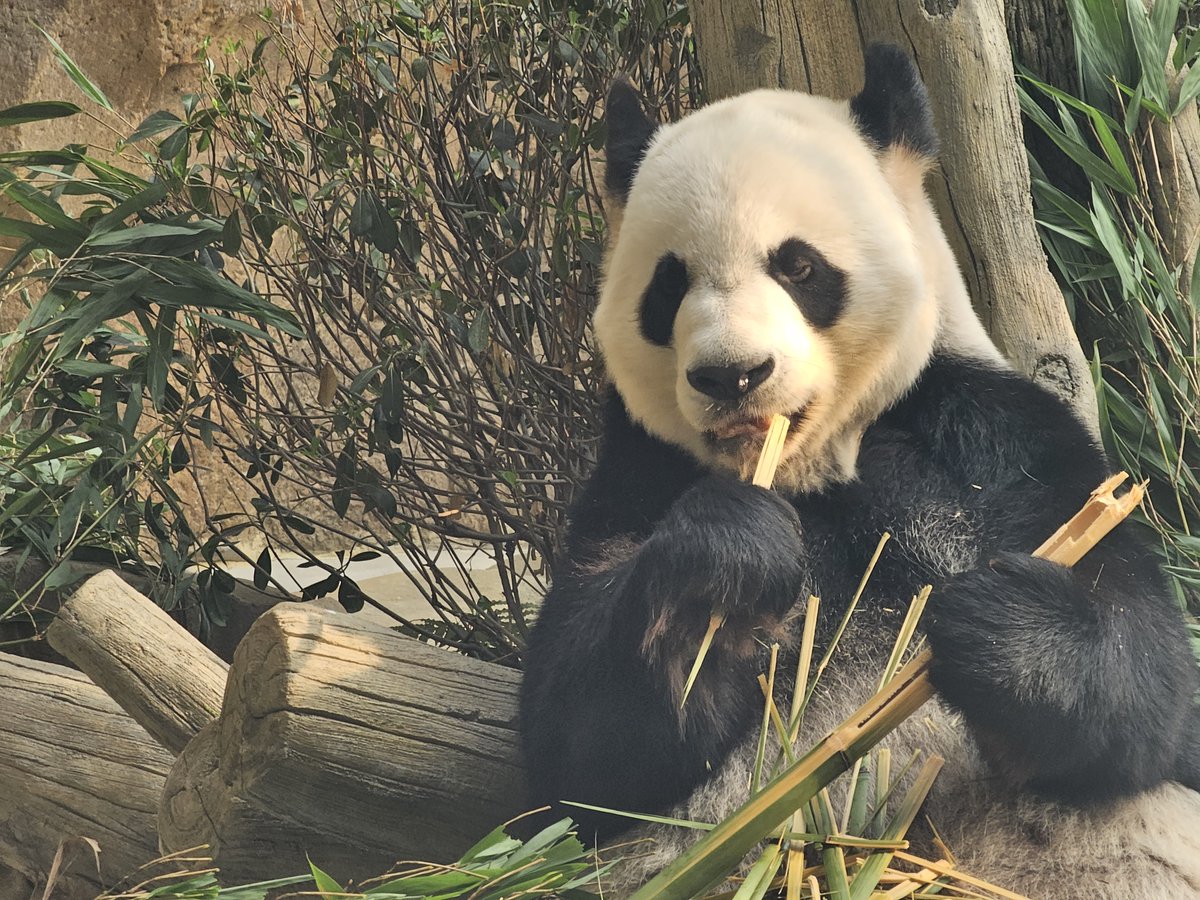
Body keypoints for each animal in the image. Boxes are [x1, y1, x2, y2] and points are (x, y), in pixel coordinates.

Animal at [519, 44, 1200, 898]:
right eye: (669, 283)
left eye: (799, 266)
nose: (732, 375)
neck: (813, 465)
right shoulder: (638, 466)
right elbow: (578, 756)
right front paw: (726, 566)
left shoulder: (993, 435)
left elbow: (1157, 687)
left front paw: (995, 625)